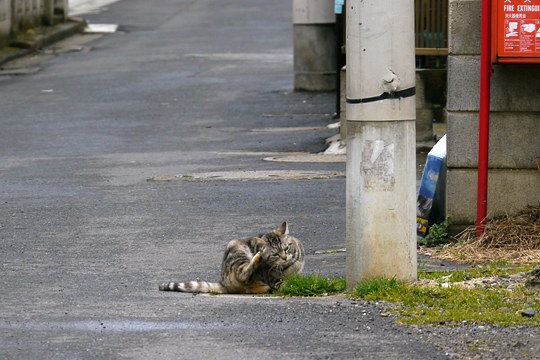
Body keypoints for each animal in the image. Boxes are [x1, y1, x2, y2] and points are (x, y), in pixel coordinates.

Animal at [159, 221, 304, 294]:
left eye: (286, 248)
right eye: (275, 254)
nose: (285, 258)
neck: (288, 267)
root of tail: (223, 282)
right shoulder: (272, 278)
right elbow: (283, 284)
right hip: (239, 252)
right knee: (243, 275)